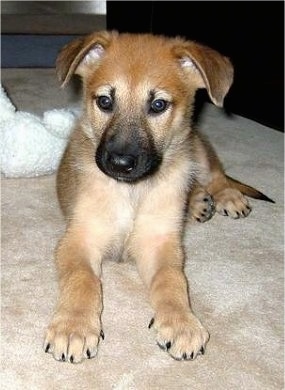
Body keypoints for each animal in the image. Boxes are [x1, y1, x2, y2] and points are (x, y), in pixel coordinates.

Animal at [43, 30, 272, 362]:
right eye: (105, 101)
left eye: (159, 105)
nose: (120, 163)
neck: (133, 191)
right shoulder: (79, 238)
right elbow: (82, 279)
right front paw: (73, 326)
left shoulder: (159, 242)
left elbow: (171, 280)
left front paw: (180, 323)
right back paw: (198, 203)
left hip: (196, 150)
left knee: (215, 176)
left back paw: (226, 197)